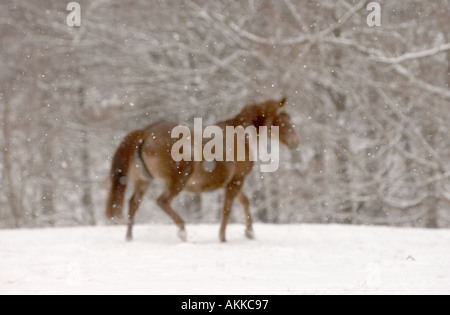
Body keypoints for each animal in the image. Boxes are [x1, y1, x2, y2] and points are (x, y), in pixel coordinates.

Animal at [106, 98, 298, 242]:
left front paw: (249, 232)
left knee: (133, 203)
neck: (242, 135)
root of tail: (146, 133)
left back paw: (129, 237)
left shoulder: (230, 182)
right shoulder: (236, 180)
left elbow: (244, 201)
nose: (295, 142)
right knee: (162, 201)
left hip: (144, 181)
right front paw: (223, 238)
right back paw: (182, 231)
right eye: (283, 118)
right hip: (179, 179)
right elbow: (227, 208)